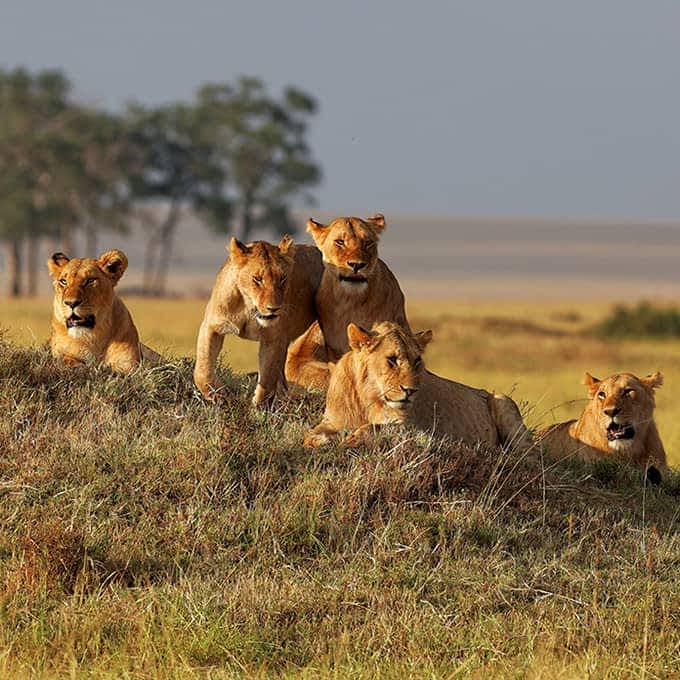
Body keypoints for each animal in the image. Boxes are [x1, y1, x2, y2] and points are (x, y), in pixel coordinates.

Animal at [194, 235, 324, 404]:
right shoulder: (212, 326)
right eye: (257, 279)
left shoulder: (274, 338)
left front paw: (259, 406)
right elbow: (202, 369)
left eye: (282, 278)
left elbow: (268, 377)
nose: (274, 308)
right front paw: (218, 395)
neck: (249, 308)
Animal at [302, 322, 532, 454]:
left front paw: (350, 440)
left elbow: (372, 427)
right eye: (392, 360)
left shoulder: (410, 428)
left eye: (417, 361)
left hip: (503, 401)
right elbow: (311, 434)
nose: (410, 391)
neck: (368, 398)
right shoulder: (332, 421)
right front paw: (319, 442)